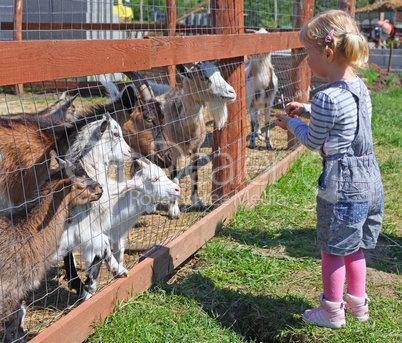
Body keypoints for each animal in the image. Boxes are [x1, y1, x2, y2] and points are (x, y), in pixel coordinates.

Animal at [132, 60, 237, 219]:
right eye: (203, 77)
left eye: (218, 72)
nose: (232, 93)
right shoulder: (171, 153)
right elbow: (174, 178)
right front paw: (174, 210)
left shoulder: (196, 150)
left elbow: (194, 175)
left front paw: (198, 203)